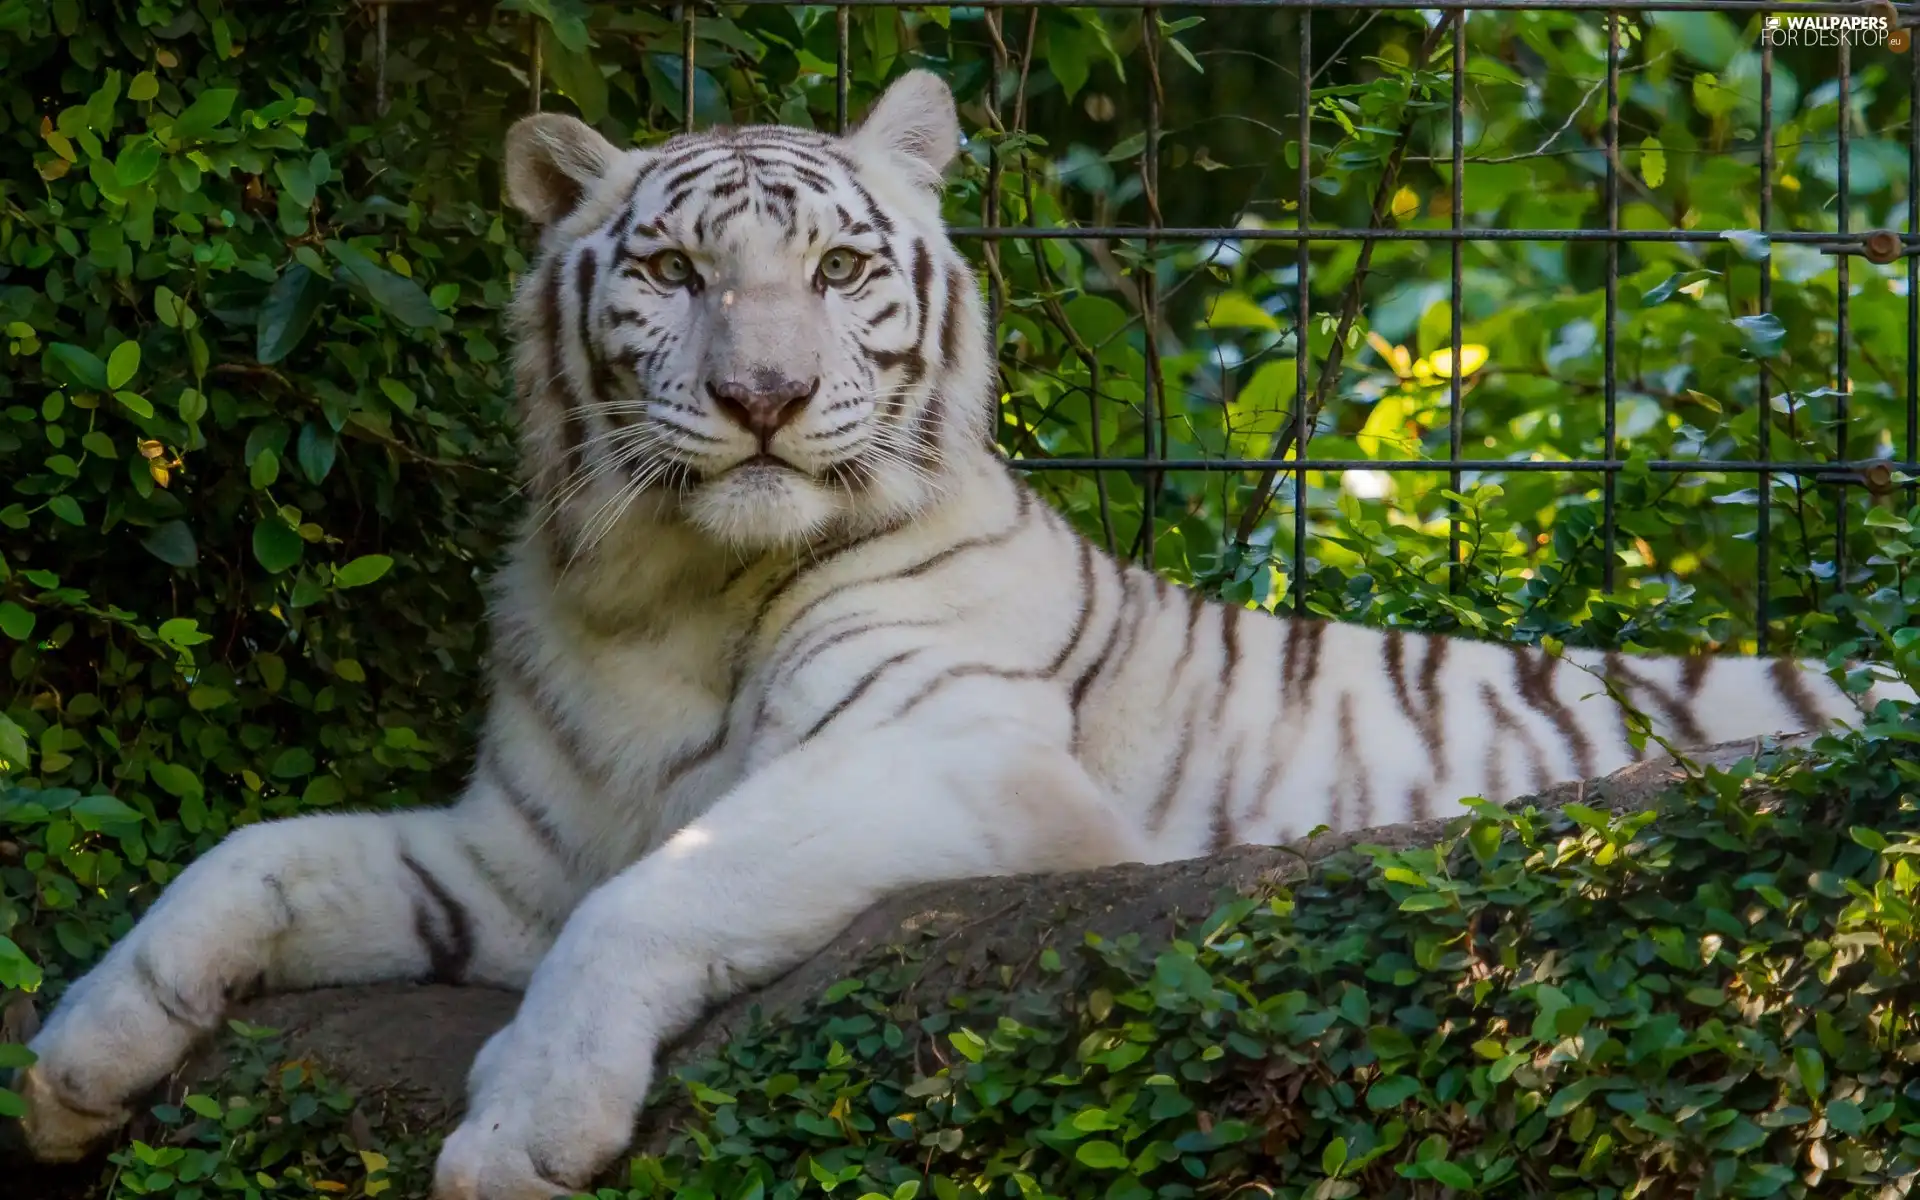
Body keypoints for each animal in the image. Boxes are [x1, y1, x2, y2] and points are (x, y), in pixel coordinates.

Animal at [18, 70, 1920, 1198]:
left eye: (843, 274)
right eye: (678, 275)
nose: (766, 400)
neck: (664, 589)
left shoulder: (956, 758)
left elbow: (671, 885)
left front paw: (519, 1127)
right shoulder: (516, 855)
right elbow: (256, 852)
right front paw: (76, 1057)